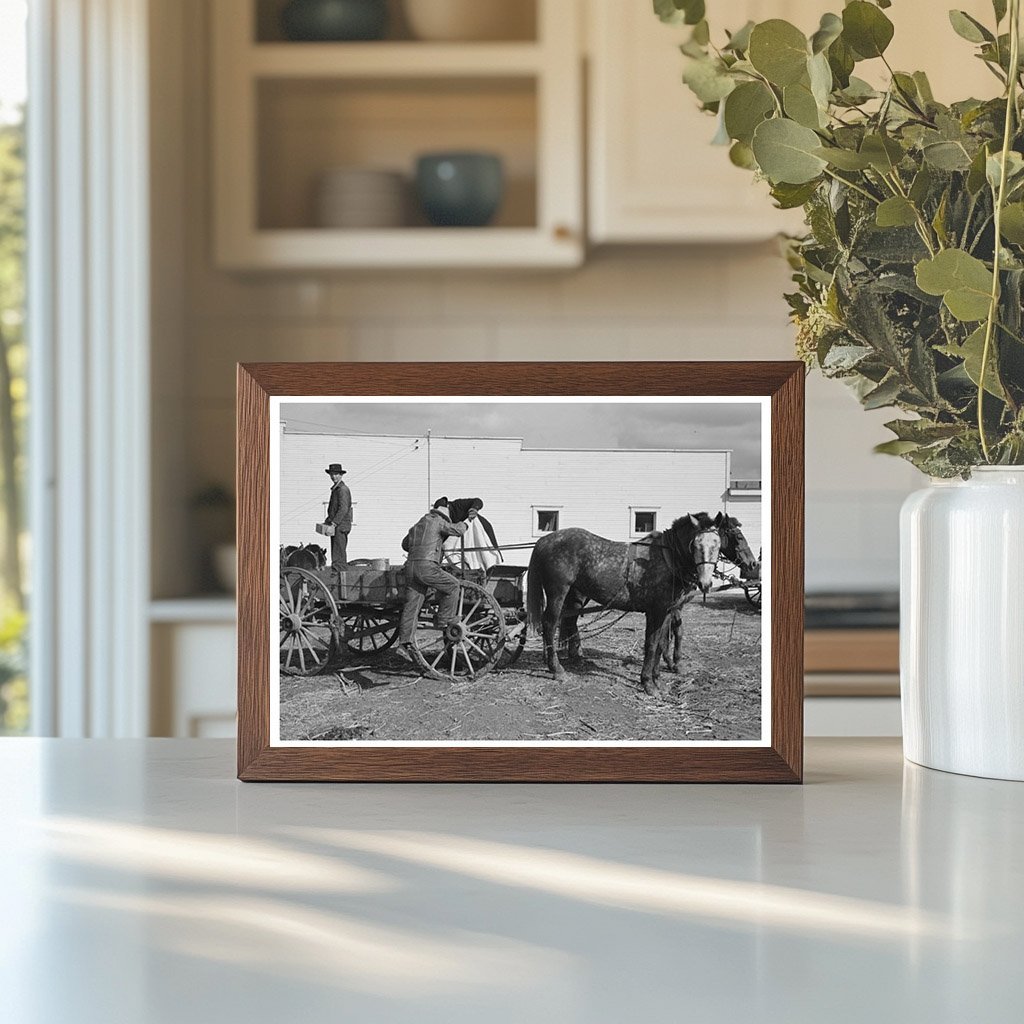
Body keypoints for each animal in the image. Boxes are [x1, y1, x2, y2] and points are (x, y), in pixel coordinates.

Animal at [528, 512, 729, 696]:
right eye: (695, 544)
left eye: (717, 544)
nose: (705, 583)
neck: (666, 557)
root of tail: (544, 540)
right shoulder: (656, 612)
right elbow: (651, 644)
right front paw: (647, 683)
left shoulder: (667, 612)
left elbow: (661, 644)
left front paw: (657, 680)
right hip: (557, 593)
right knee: (549, 624)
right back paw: (557, 669)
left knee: (566, 622)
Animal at [659, 512, 757, 671]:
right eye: (739, 537)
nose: (753, 563)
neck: (674, 557)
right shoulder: (672, 605)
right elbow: (673, 631)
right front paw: (672, 661)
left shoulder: (676, 605)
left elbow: (673, 631)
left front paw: (671, 660)